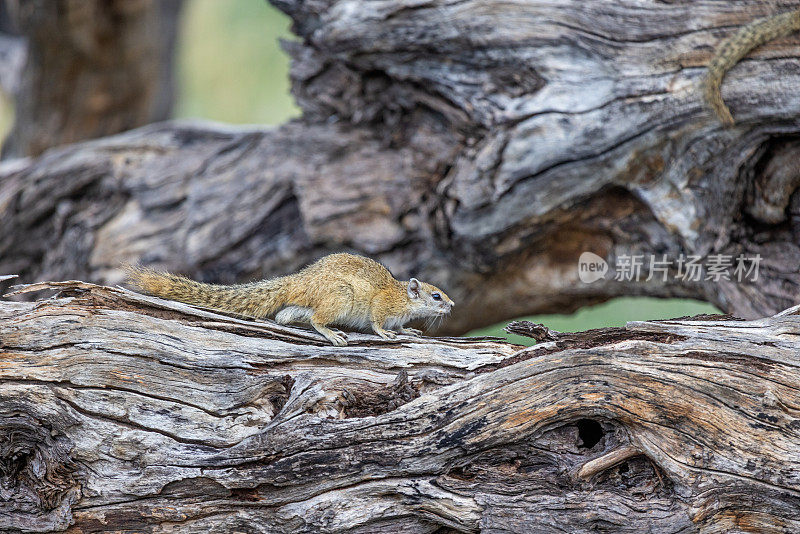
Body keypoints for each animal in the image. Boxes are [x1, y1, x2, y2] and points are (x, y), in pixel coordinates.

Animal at [122, 254, 454, 348]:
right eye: (436, 295)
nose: (452, 305)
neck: (401, 296)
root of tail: (299, 281)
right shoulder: (381, 306)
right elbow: (377, 322)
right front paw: (386, 333)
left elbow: (401, 327)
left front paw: (408, 331)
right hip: (340, 298)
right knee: (317, 319)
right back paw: (331, 333)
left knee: (286, 316)